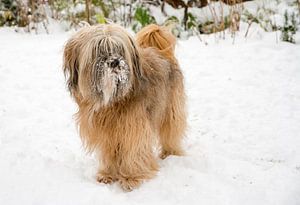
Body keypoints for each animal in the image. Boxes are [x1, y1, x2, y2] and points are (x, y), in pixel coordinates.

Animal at [62, 23, 186, 191]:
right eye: (98, 49)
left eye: (119, 49)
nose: (114, 61)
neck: (111, 103)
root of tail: (162, 52)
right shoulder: (106, 133)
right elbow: (109, 153)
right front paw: (107, 175)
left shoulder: (134, 128)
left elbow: (133, 152)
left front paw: (131, 178)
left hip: (171, 110)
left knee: (171, 133)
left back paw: (170, 154)